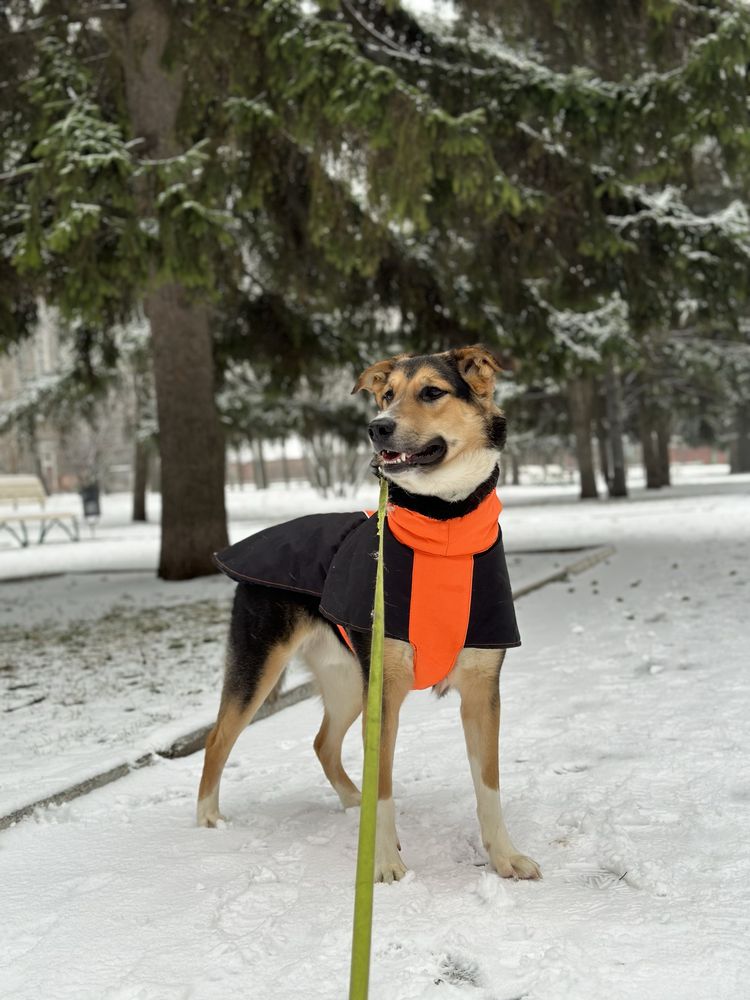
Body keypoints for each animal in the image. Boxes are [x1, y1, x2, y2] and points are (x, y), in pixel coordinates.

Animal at [198, 346, 540, 884]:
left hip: (346, 679)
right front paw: (382, 864)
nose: (377, 427)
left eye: (432, 392)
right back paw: (208, 821)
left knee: (322, 743)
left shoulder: (483, 689)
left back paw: (351, 802)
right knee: (217, 739)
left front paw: (505, 857)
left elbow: (489, 785)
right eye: (386, 395)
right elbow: (385, 787)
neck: (444, 528)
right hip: (263, 667)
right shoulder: (386, 694)